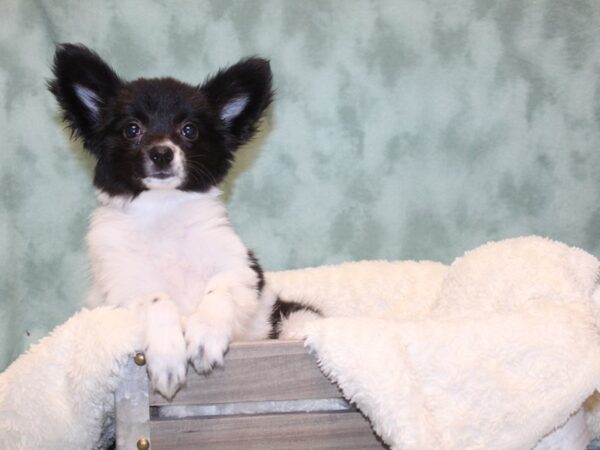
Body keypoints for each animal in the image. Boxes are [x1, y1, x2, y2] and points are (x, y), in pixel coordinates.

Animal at [47, 44, 302, 400]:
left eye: (189, 130)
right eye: (132, 129)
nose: (161, 153)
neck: (162, 210)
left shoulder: (242, 269)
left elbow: (220, 290)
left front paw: (205, 337)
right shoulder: (123, 283)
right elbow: (158, 299)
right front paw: (168, 356)